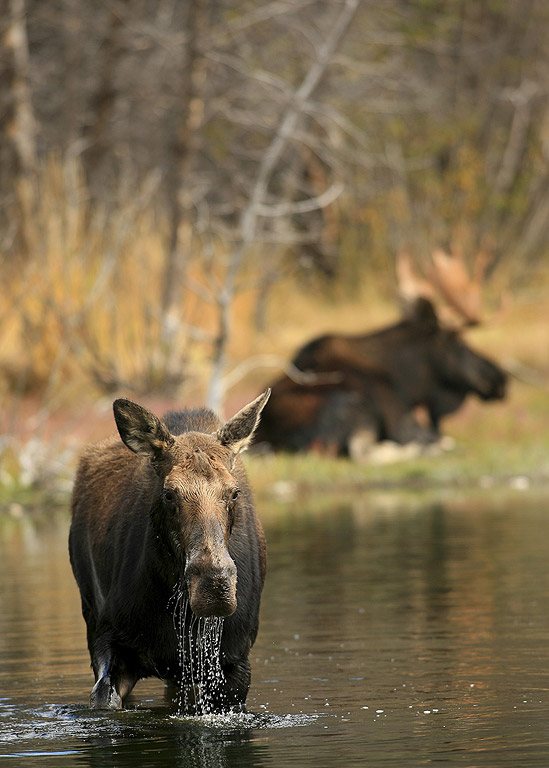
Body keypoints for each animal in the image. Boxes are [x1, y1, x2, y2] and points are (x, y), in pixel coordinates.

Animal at [68, 392, 270, 712]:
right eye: (169, 493)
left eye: (234, 492)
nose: (213, 586)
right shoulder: (108, 639)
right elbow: (104, 698)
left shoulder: (235, 661)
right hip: (89, 606)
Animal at [255, 250, 508, 456]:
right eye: (459, 342)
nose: (501, 378)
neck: (408, 383)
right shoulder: (403, 421)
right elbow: (441, 441)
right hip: (351, 406)